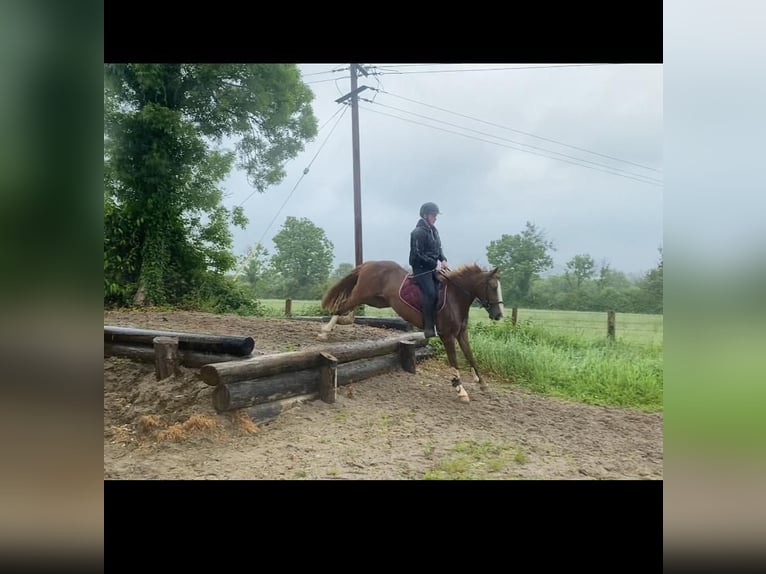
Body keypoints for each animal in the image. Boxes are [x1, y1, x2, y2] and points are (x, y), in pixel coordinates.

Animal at [318, 262, 504, 402]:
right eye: (493, 286)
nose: (499, 315)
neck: (455, 298)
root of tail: (368, 264)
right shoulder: (448, 337)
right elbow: (454, 362)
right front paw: (460, 389)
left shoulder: (461, 334)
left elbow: (470, 356)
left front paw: (482, 384)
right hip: (362, 294)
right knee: (341, 306)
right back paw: (325, 331)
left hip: (376, 300)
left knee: (346, 307)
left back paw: (338, 324)